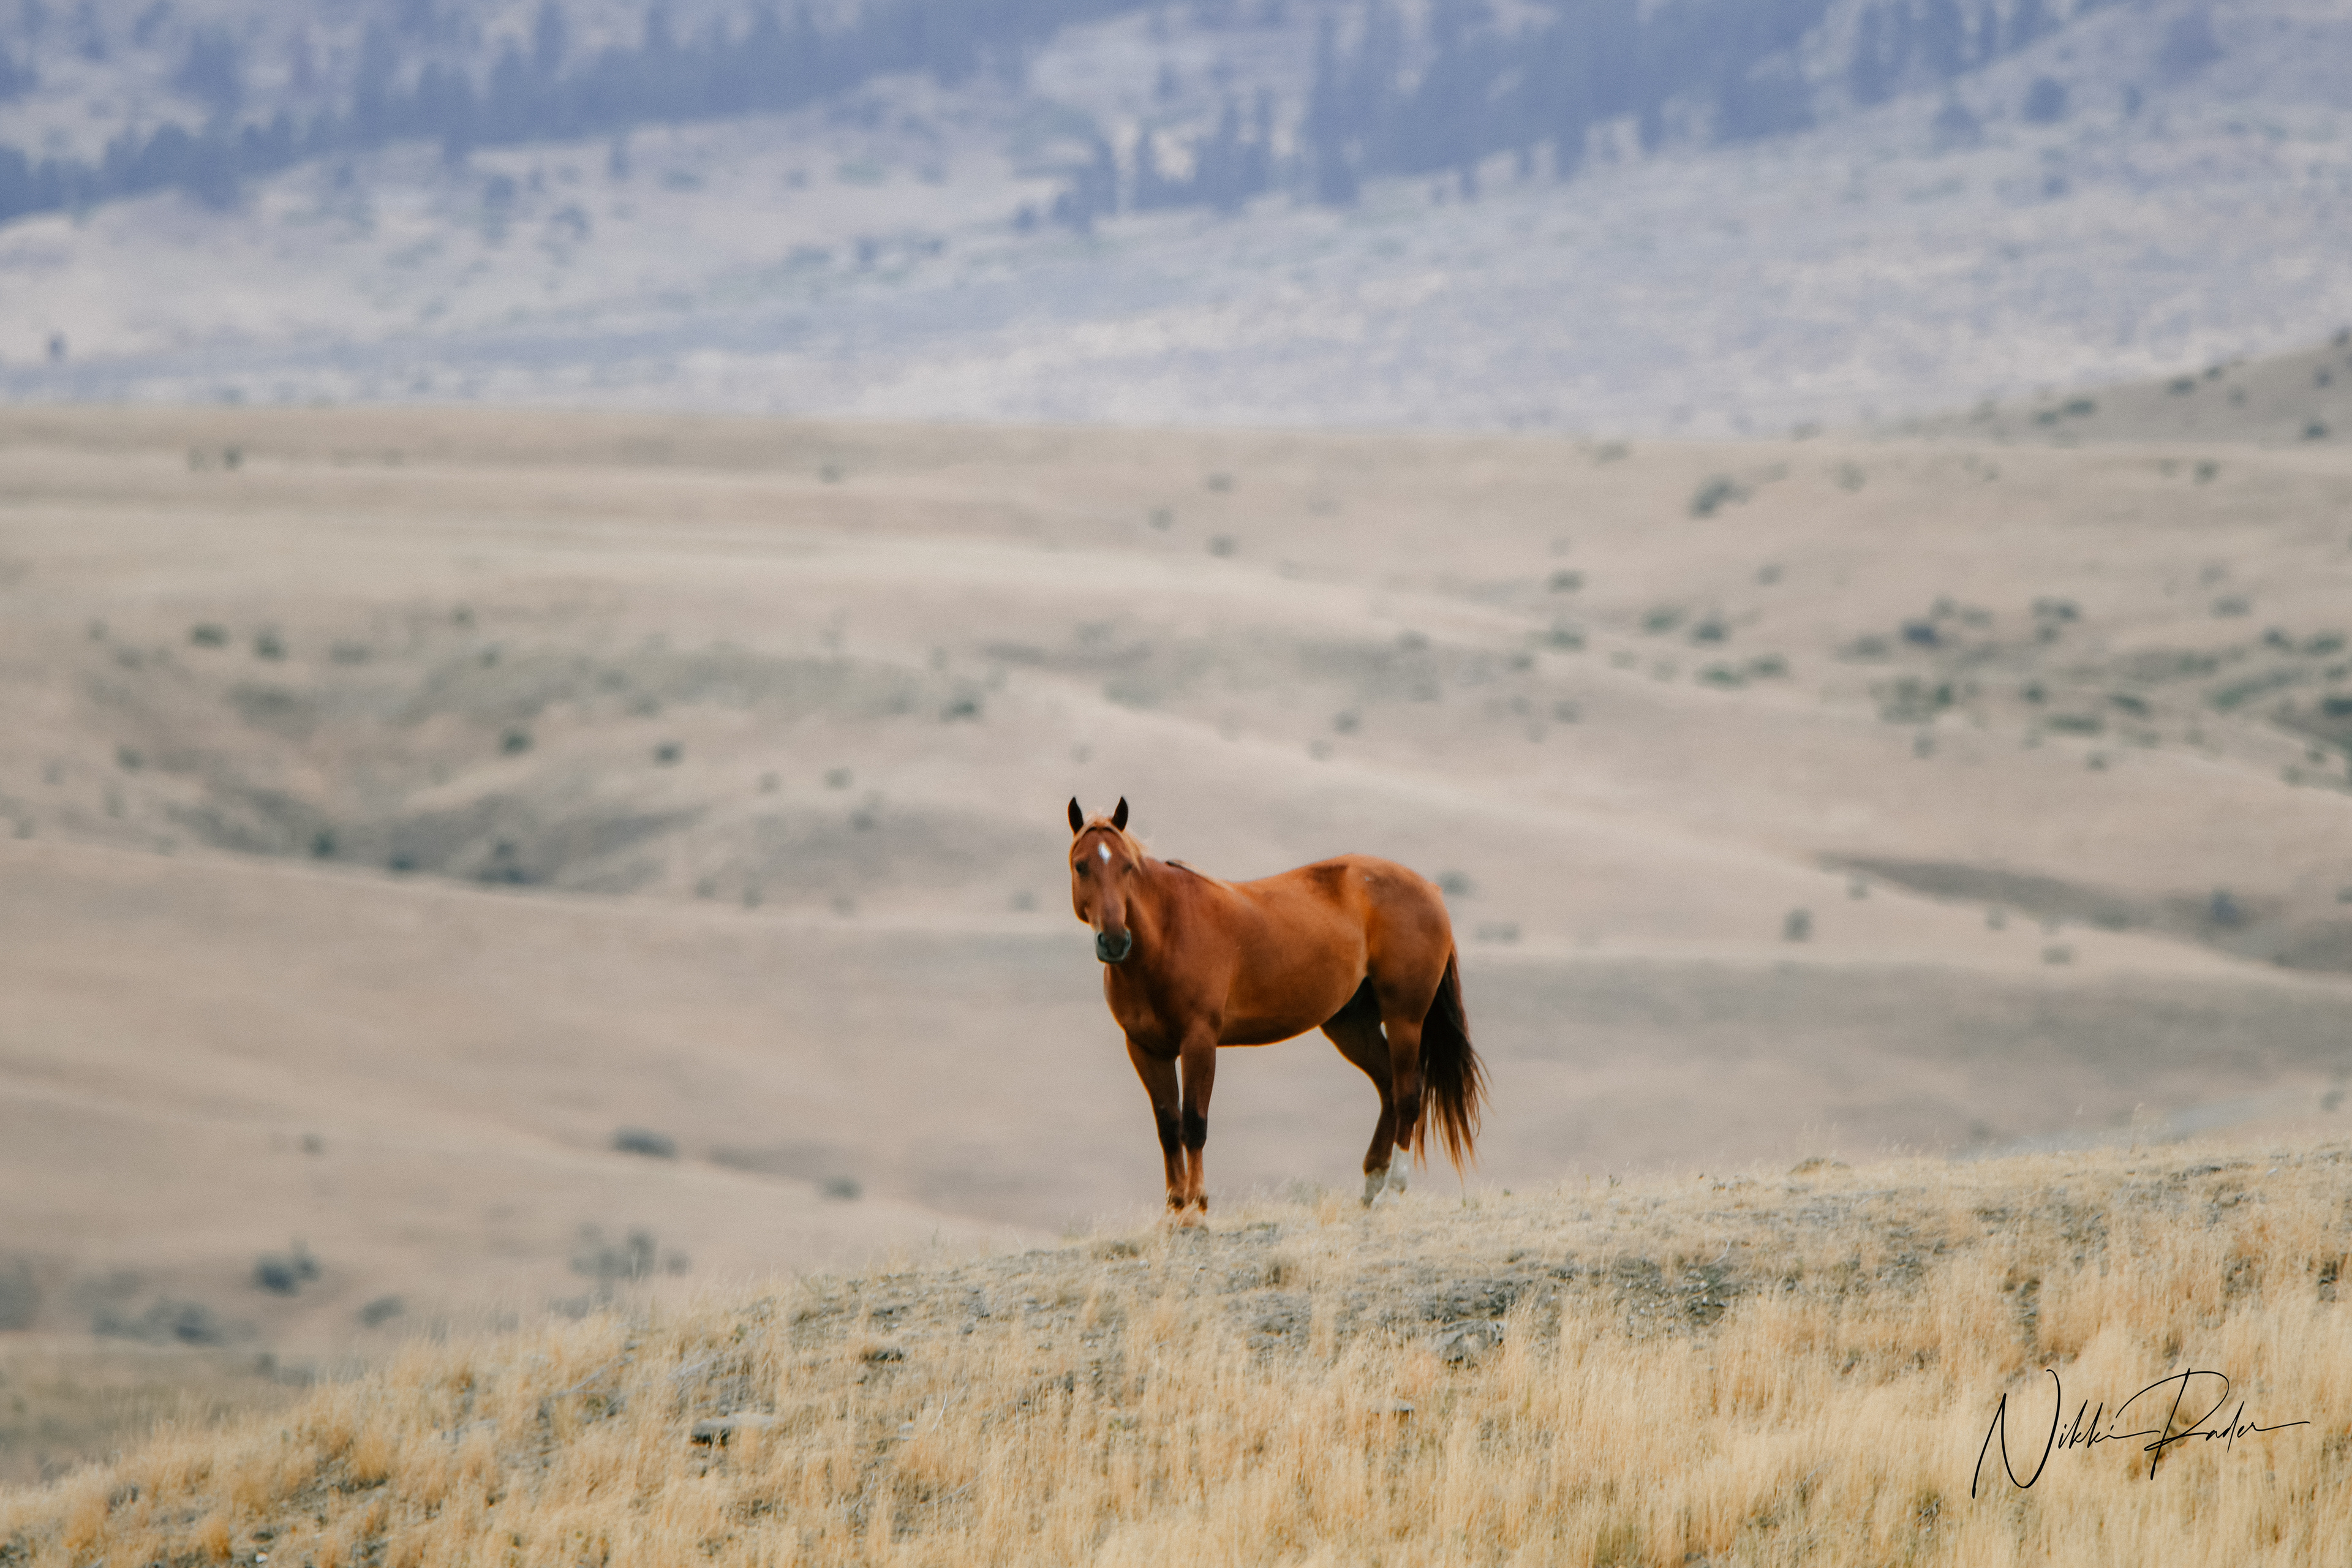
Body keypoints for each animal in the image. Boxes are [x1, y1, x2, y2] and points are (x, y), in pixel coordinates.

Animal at [1067, 797, 1487, 1222]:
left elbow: (1194, 1123)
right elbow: (1168, 1128)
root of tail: (1430, 889)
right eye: (1081, 865)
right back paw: (1372, 1185)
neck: (1166, 935)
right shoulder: (1145, 1049)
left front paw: (1198, 1206)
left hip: (1405, 1018)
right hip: (1351, 1026)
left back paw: (1392, 1191)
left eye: (1127, 867)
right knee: (1388, 1088)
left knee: (1407, 1093)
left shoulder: (1199, 1041)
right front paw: (1175, 1208)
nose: (1114, 941)